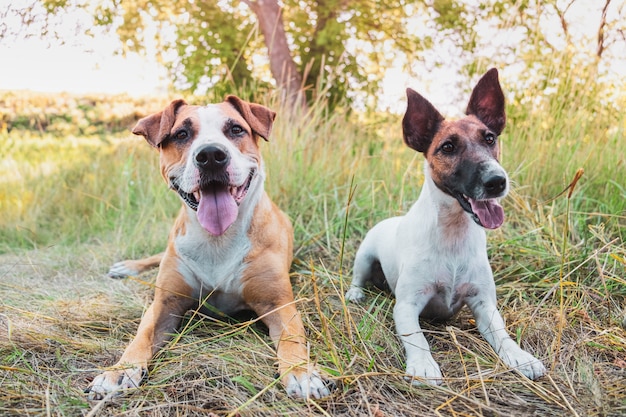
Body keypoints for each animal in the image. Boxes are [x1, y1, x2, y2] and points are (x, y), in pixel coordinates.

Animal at [88, 96, 334, 398]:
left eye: (236, 129)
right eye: (181, 134)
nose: (210, 156)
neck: (217, 240)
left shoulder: (279, 304)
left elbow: (292, 337)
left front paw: (301, 372)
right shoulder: (164, 304)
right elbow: (141, 335)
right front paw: (119, 371)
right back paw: (128, 267)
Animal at [344, 68, 544, 384]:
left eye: (490, 138)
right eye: (447, 147)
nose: (497, 181)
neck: (453, 232)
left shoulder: (484, 304)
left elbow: (502, 334)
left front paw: (520, 357)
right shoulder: (407, 306)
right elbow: (417, 338)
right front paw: (423, 366)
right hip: (364, 257)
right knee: (357, 277)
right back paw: (355, 293)